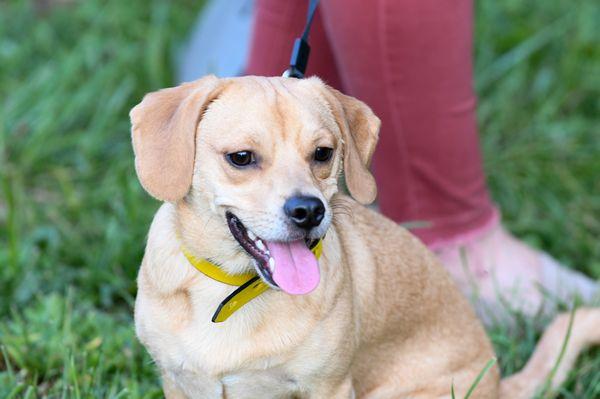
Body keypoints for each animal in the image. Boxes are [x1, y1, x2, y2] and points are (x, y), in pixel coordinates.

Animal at [129, 76, 596, 399]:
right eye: (241, 158)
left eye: (323, 153)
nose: (309, 211)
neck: (232, 292)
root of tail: (498, 386)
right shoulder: (180, 383)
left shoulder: (329, 387)